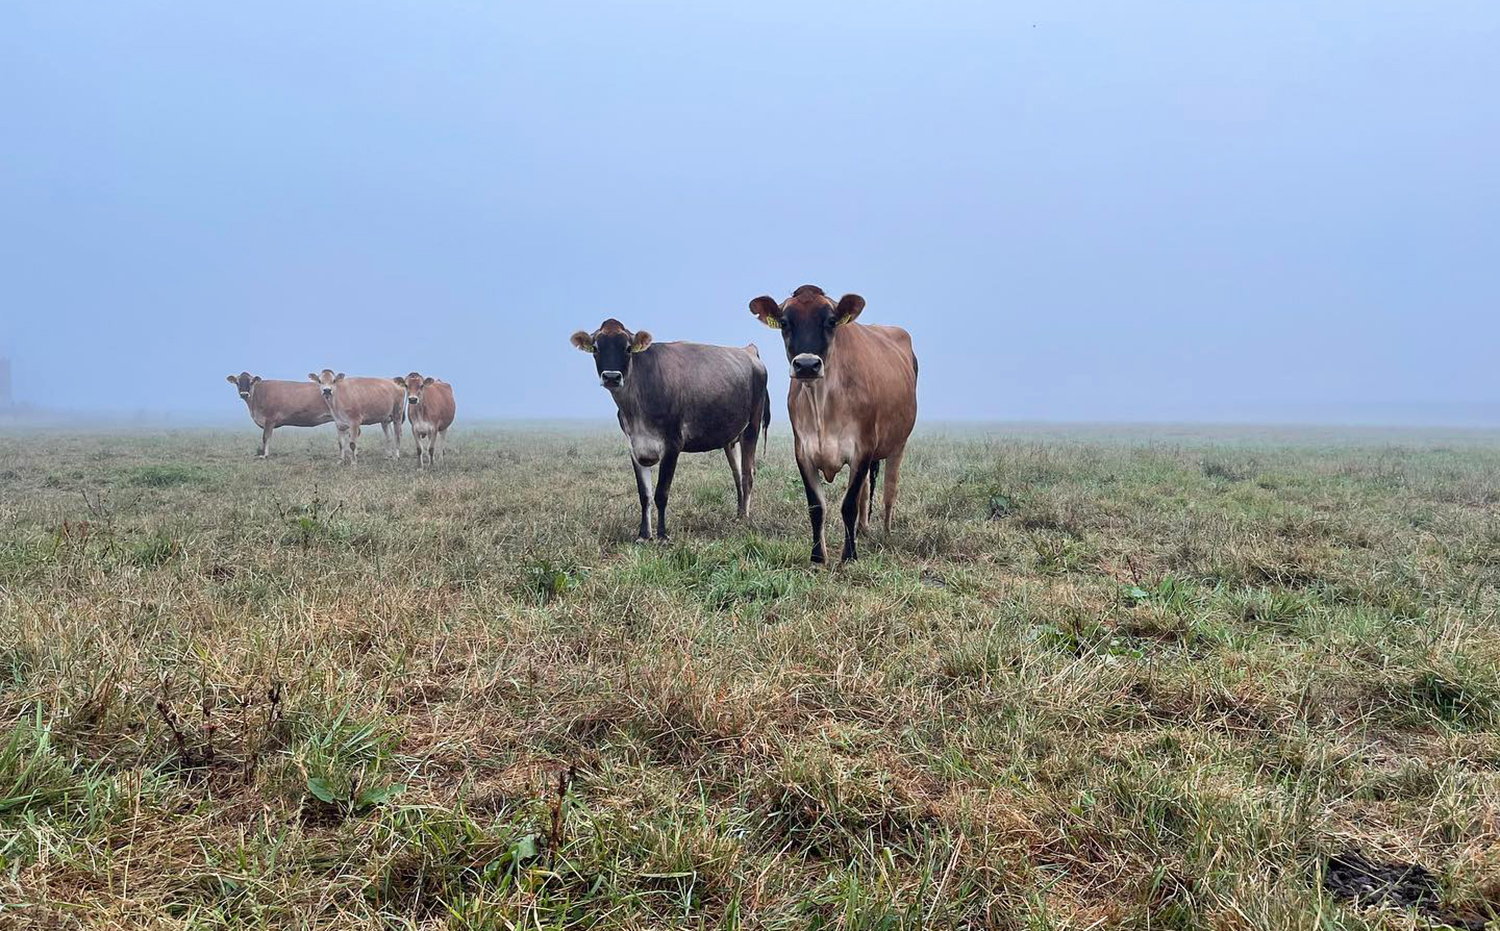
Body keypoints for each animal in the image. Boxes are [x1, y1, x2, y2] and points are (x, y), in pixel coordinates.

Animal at [567, 319, 768, 539]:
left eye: (628, 348)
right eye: (596, 348)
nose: (612, 377)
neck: (636, 408)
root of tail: (748, 351)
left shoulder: (673, 445)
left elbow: (661, 493)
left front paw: (662, 535)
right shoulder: (635, 446)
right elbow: (644, 495)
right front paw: (643, 535)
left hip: (752, 427)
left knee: (748, 473)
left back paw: (745, 518)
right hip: (730, 437)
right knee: (737, 473)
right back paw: (738, 515)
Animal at [747, 284, 912, 557]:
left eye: (831, 321)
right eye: (784, 322)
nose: (806, 365)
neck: (822, 407)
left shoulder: (863, 449)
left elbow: (848, 505)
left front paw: (849, 555)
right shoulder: (803, 452)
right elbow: (816, 506)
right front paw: (817, 555)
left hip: (898, 444)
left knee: (890, 490)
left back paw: (886, 533)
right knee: (866, 491)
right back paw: (862, 530)